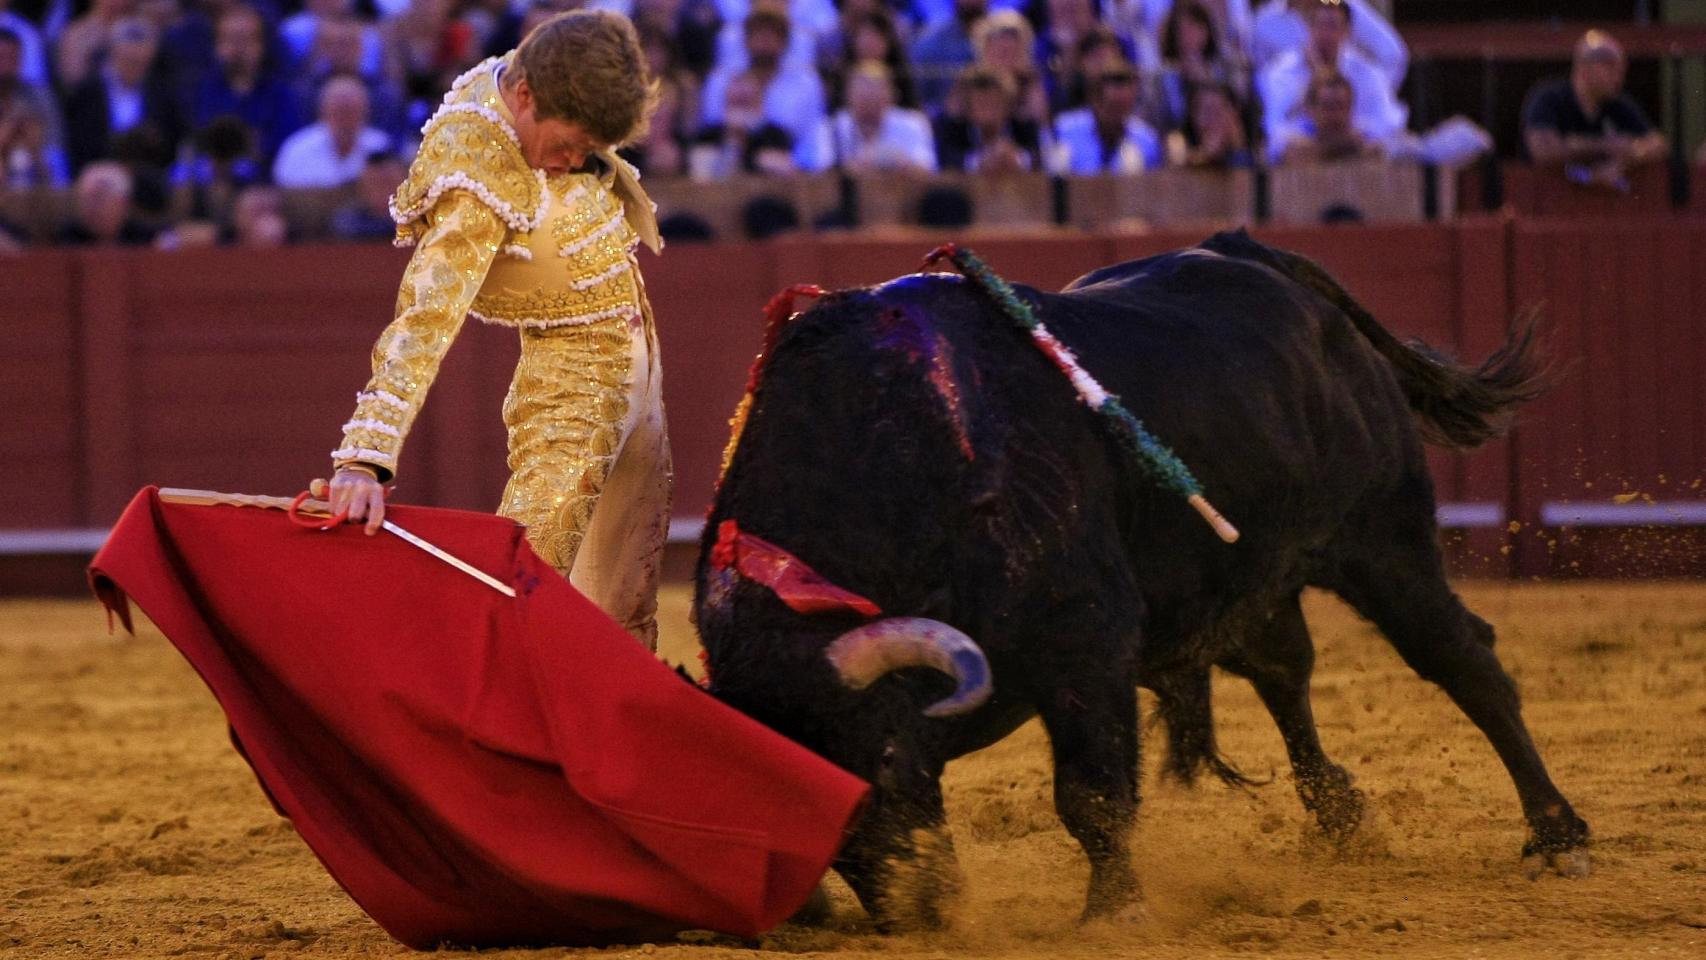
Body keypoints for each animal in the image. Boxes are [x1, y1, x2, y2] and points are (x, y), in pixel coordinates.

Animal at [689, 228, 1583, 927]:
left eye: (878, 758)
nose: (923, 910)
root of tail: (1259, 256)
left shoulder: (1085, 638)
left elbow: (1089, 793)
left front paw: (1114, 912)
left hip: (1383, 538)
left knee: (1463, 660)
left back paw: (1556, 835)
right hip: (1250, 568)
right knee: (1284, 671)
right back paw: (1341, 817)